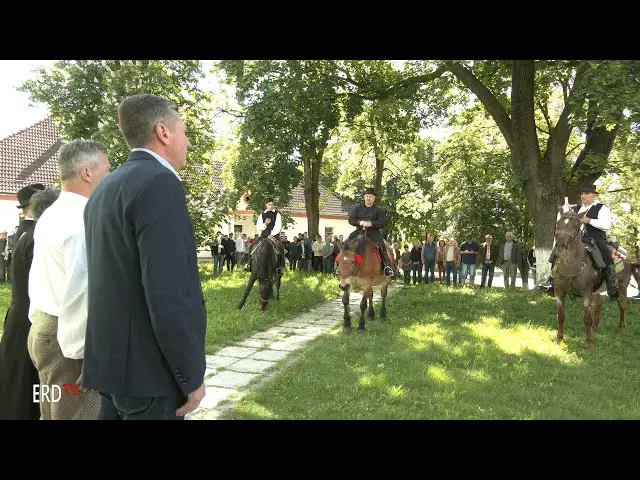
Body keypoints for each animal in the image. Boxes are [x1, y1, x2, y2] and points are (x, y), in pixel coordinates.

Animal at [552, 210, 636, 348]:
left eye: (576, 226)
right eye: (558, 224)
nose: (561, 248)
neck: (571, 268)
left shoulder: (587, 294)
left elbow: (587, 319)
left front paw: (589, 343)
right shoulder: (559, 292)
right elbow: (561, 316)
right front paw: (559, 339)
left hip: (622, 286)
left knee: (622, 305)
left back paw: (620, 327)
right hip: (597, 291)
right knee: (599, 305)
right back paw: (595, 328)